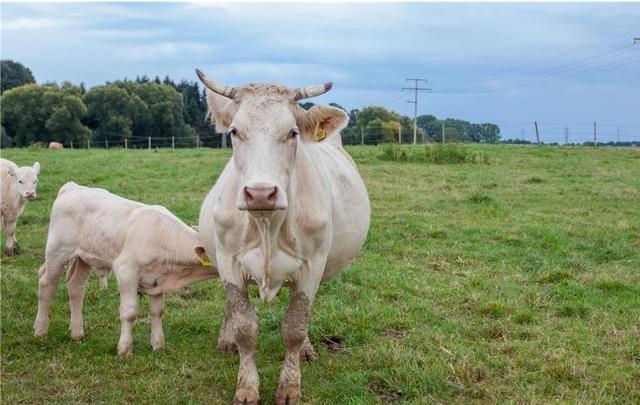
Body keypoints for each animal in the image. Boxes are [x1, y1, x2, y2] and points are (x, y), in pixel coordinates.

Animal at [33, 181, 219, 356]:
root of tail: (72, 187)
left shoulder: (157, 279)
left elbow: (157, 311)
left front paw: (158, 345)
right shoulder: (126, 270)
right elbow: (129, 312)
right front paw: (125, 349)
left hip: (84, 256)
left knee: (76, 285)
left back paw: (77, 334)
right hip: (58, 250)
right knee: (46, 284)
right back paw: (40, 331)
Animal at [198, 70, 372, 404]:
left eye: (292, 132)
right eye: (235, 131)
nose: (260, 193)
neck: (267, 223)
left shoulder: (312, 266)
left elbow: (295, 326)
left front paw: (290, 386)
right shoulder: (228, 262)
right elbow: (244, 326)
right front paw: (246, 387)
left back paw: (306, 350)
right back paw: (226, 340)